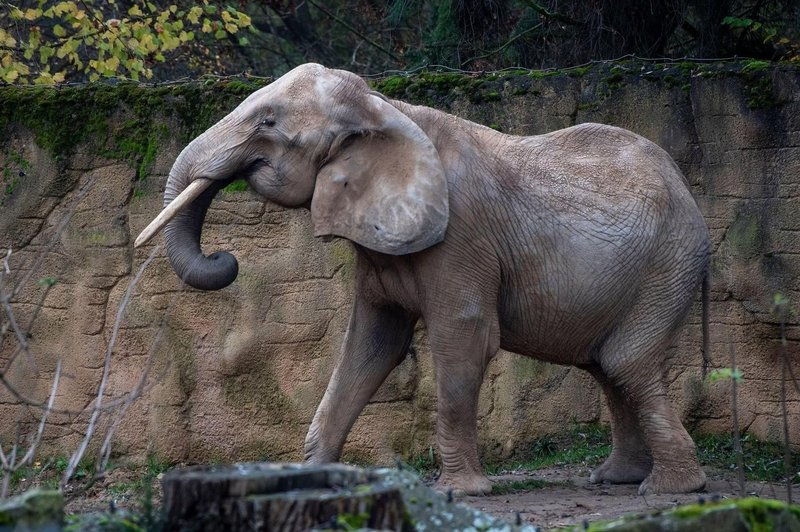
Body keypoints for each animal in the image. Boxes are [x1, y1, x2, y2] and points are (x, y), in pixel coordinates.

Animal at [134, 64, 708, 496]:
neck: (382, 108)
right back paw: (617, 479)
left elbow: (463, 337)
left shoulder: (462, 238)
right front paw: (314, 480)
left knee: (626, 362)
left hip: (668, 265)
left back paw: (670, 490)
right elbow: (371, 345)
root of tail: (686, 188)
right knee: (607, 366)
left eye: (269, 123)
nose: (225, 257)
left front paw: (459, 492)